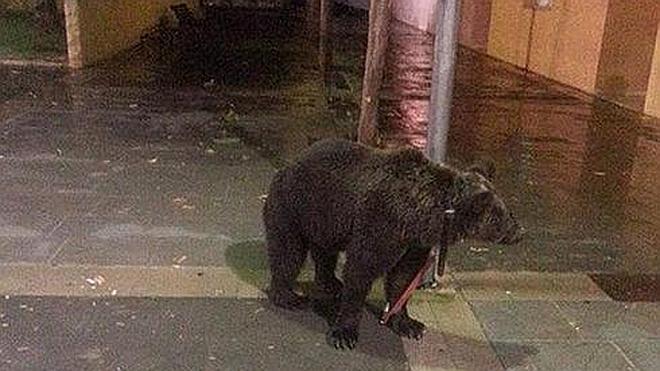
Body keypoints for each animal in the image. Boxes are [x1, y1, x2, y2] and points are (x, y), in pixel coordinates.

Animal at [262, 139, 520, 352]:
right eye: (499, 217)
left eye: (508, 210)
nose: (519, 232)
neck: (422, 213)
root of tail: (287, 165)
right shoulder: (381, 222)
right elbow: (362, 269)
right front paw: (345, 333)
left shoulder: (414, 242)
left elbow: (403, 277)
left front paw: (409, 324)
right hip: (293, 207)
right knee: (288, 253)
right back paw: (290, 297)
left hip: (326, 220)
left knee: (325, 253)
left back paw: (331, 283)